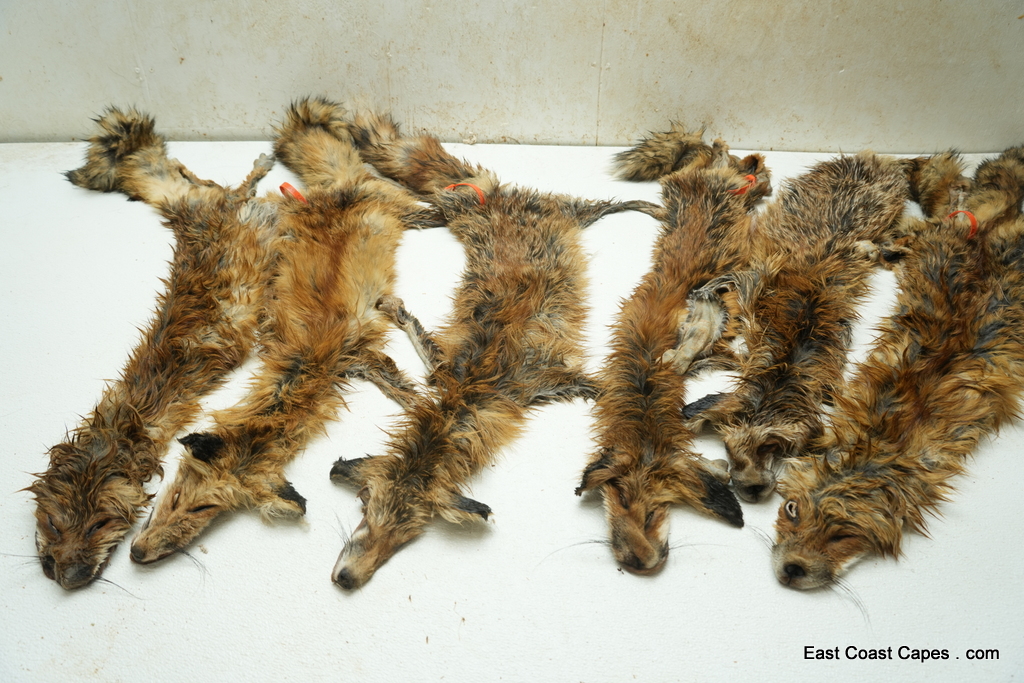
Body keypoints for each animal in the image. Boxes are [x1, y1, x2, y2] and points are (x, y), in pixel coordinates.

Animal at [28, 107, 284, 589]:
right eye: (52, 524)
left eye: (99, 525)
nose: (69, 578)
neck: (125, 423)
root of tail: (190, 216)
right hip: (206, 199)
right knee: (200, 179)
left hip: (219, 204)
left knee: (224, 185)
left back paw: (262, 165)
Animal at [128, 97, 436, 565]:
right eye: (176, 495)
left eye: (206, 509)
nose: (137, 553)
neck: (307, 360)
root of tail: (338, 189)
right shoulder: (346, 356)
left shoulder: (355, 353)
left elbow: (408, 393)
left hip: (396, 206)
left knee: (428, 207)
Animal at [328, 112, 654, 589]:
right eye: (365, 511)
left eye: (408, 536)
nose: (346, 579)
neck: (476, 387)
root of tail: (497, 200)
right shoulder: (447, 370)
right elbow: (412, 345)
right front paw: (393, 313)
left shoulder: (545, 382)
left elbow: (604, 389)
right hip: (463, 210)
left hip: (555, 211)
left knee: (601, 204)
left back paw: (652, 206)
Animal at [574, 124, 772, 574]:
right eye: (620, 500)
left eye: (655, 512)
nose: (641, 563)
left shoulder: (702, 309)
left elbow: (698, 337)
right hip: (687, 185)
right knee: (710, 162)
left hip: (710, 186)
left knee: (733, 166)